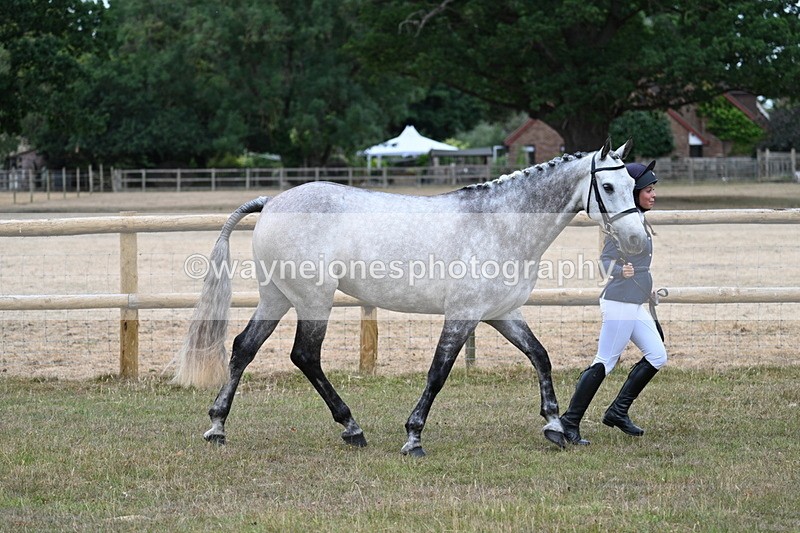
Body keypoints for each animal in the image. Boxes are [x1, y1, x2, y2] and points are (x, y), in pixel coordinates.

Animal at [173, 139, 645, 456]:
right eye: (608, 188)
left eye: (631, 183)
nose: (638, 240)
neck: (498, 223)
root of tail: (271, 202)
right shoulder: (462, 315)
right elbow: (438, 374)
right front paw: (413, 436)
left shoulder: (502, 313)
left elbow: (540, 357)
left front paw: (554, 426)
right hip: (313, 301)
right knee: (304, 356)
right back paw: (352, 428)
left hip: (277, 298)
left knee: (243, 348)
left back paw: (217, 427)